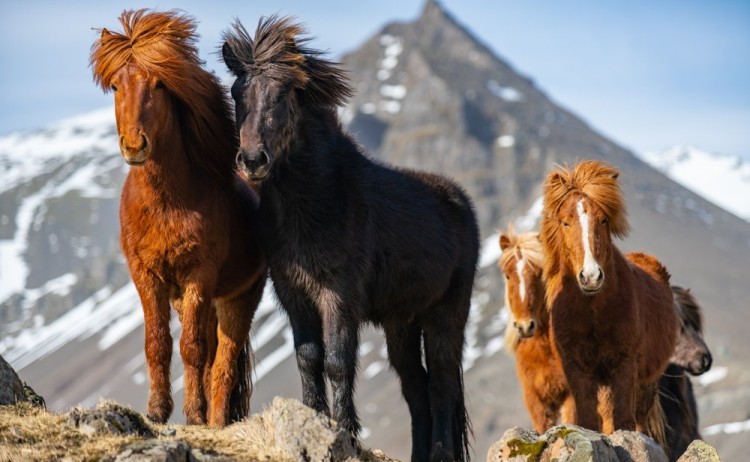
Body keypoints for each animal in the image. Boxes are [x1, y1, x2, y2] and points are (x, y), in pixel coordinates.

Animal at [90, 9, 266, 426]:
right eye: (116, 86)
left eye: (158, 84)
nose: (134, 145)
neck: (165, 204)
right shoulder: (147, 275)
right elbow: (157, 343)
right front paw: (157, 410)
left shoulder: (198, 276)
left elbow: (192, 349)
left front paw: (193, 414)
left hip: (237, 300)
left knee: (223, 365)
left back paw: (214, 421)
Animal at [221, 16, 479, 462]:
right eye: (238, 92)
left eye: (283, 93)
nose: (252, 161)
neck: (318, 199)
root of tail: (460, 201)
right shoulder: (293, 292)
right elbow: (308, 358)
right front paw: (314, 420)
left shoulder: (338, 294)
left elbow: (338, 362)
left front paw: (345, 432)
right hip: (401, 322)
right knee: (416, 387)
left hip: (447, 313)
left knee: (443, 382)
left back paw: (441, 454)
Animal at [539, 160, 677, 447]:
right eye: (565, 222)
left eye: (603, 220)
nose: (591, 276)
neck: (593, 313)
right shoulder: (576, 369)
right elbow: (588, 421)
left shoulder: (624, 366)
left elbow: (623, 422)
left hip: (646, 384)